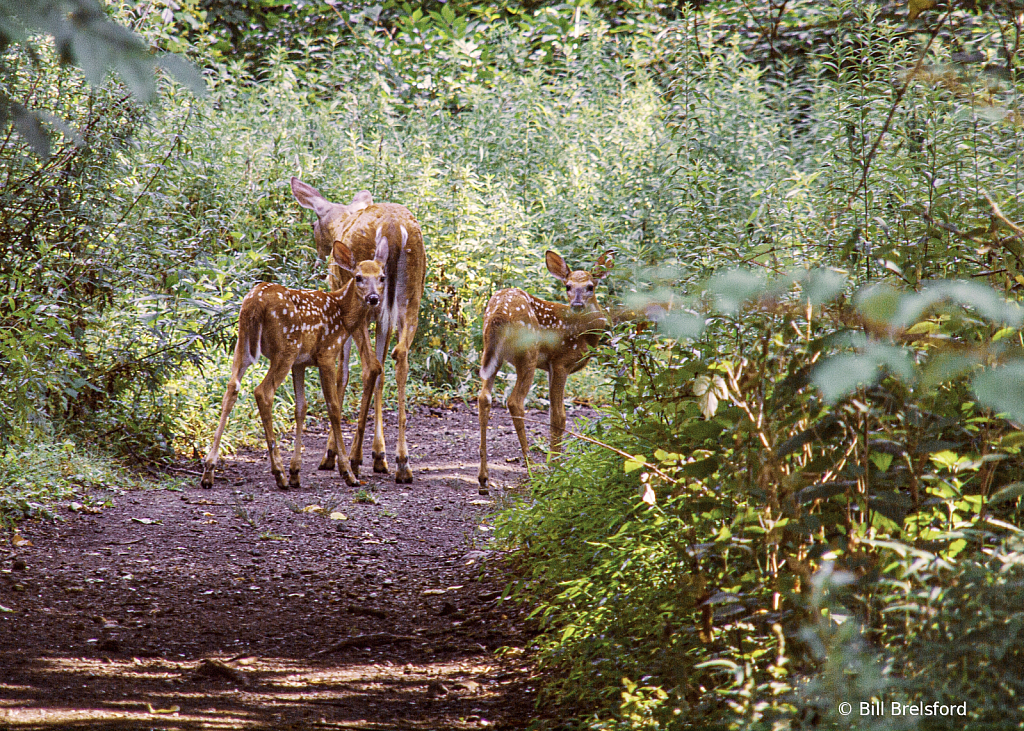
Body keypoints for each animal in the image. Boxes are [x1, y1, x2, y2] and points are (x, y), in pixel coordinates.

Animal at [199, 239, 387, 489]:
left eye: (382, 277)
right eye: (358, 277)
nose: (373, 298)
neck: (342, 314)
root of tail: (255, 302)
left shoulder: (301, 363)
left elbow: (301, 407)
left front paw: (296, 471)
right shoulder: (326, 354)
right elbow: (334, 407)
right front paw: (348, 472)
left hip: (244, 344)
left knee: (231, 389)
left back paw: (209, 471)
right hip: (285, 348)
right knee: (263, 392)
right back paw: (278, 472)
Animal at [290, 177, 425, 483]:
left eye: (313, 223)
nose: (321, 252)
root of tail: (393, 229)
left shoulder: (345, 306)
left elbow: (343, 373)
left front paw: (332, 454)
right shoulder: (382, 318)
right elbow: (382, 375)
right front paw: (379, 455)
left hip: (370, 305)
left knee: (370, 367)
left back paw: (353, 458)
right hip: (411, 297)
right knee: (399, 358)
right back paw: (402, 463)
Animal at [475, 247, 610, 493]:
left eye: (590, 286)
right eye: (567, 286)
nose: (577, 305)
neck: (586, 335)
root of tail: (498, 313)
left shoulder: (549, 367)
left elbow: (552, 415)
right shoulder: (561, 362)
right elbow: (559, 417)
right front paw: (556, 469)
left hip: (491, 353)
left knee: (484, 398)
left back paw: (483, 479)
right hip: (527, 353)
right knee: (514, 402)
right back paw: (531, 469)